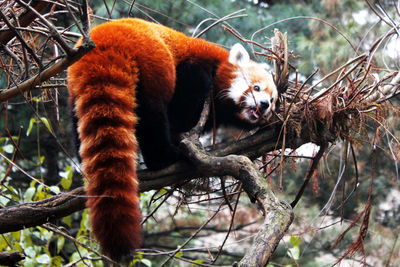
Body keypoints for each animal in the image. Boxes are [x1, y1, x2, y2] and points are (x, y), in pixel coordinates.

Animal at [66, 17, 278, 262]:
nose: (264, 105)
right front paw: (181, 137)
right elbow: (188, 98)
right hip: (153, 69)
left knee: (79, 123)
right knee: (153, 116)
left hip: (77, 89)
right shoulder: (195, 71)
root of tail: (106, 43)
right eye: (256, 87)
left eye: (273, 100)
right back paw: (165, 157)